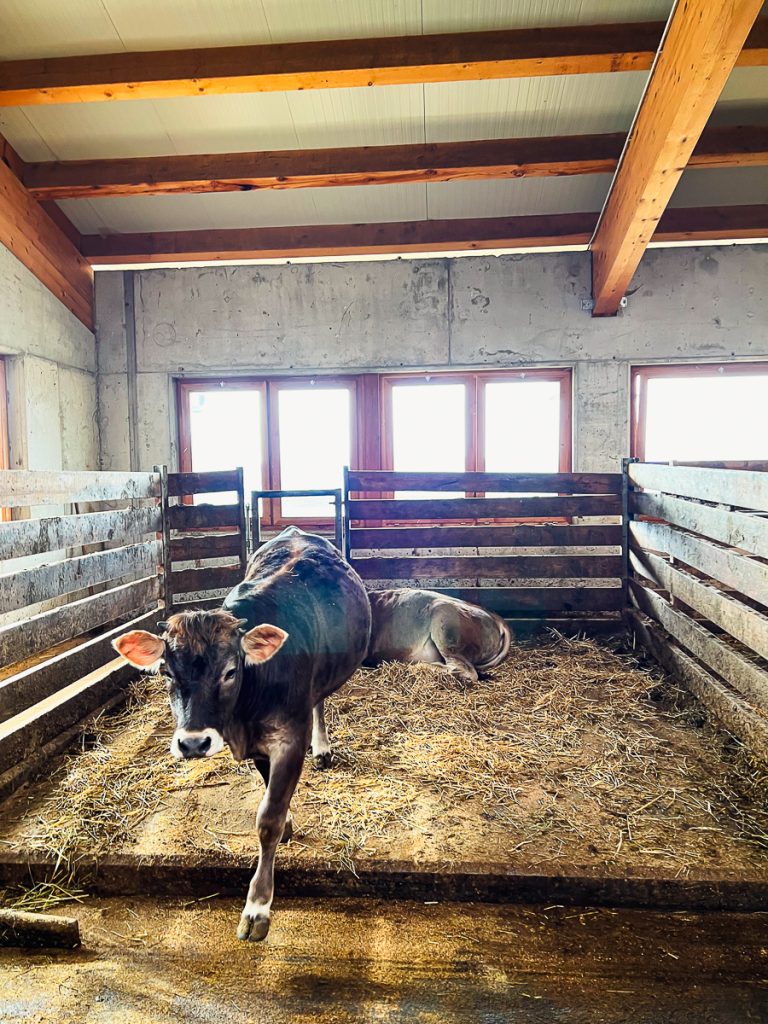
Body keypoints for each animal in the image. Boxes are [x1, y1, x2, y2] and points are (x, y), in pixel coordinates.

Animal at [112, 528, 372, 942]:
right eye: (167, 671)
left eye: (230, 671)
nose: (193, 742)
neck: (244, 714)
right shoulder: (260, 747)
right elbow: (271, 795)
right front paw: (289, 821)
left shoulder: (290, 738)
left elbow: (268, 819)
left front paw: (257, 907)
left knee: (320, 699)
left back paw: (323, 747)